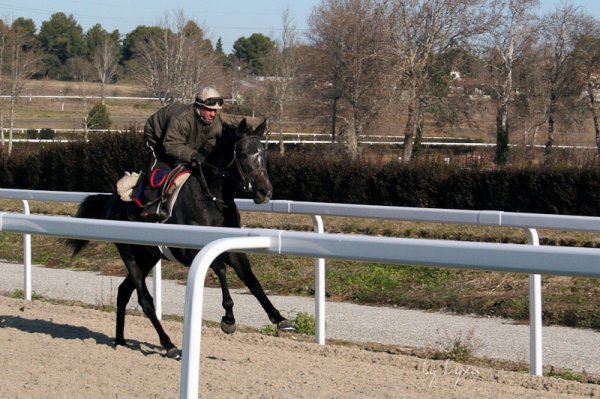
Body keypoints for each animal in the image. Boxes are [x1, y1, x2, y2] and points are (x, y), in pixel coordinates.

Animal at [69, 119, 294, 360]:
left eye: (264, 153)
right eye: (243, 154)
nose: (264, 192)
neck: (212, 198)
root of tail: (112, 200)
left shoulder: (233, 248)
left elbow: (251, 279)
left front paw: (279, 318)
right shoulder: (189, 251)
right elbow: (221, 269)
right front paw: (228, 318)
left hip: (148, 256)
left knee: (123, 292)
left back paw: (120, 341)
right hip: (129, 253)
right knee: (144, 300)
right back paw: (168, 344)